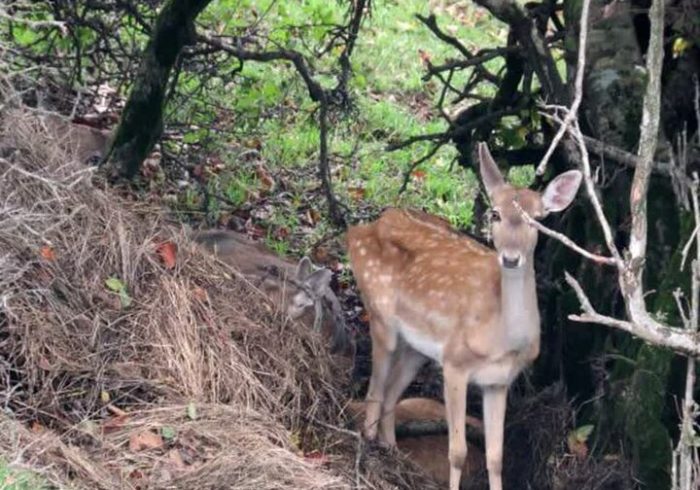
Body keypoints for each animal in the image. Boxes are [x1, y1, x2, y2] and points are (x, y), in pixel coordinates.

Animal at [348, 143, 584, 490]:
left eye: (536, 220)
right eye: (495, 213)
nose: (510, 258)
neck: (501, 339)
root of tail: (361, 229)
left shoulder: (498, 382)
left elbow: (496, 456)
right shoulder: (455, 363)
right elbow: (457, 451)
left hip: (417, 348)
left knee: (391, 393)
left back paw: (393, 452)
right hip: (380, 315)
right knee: (374, 391)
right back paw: (369, 455)